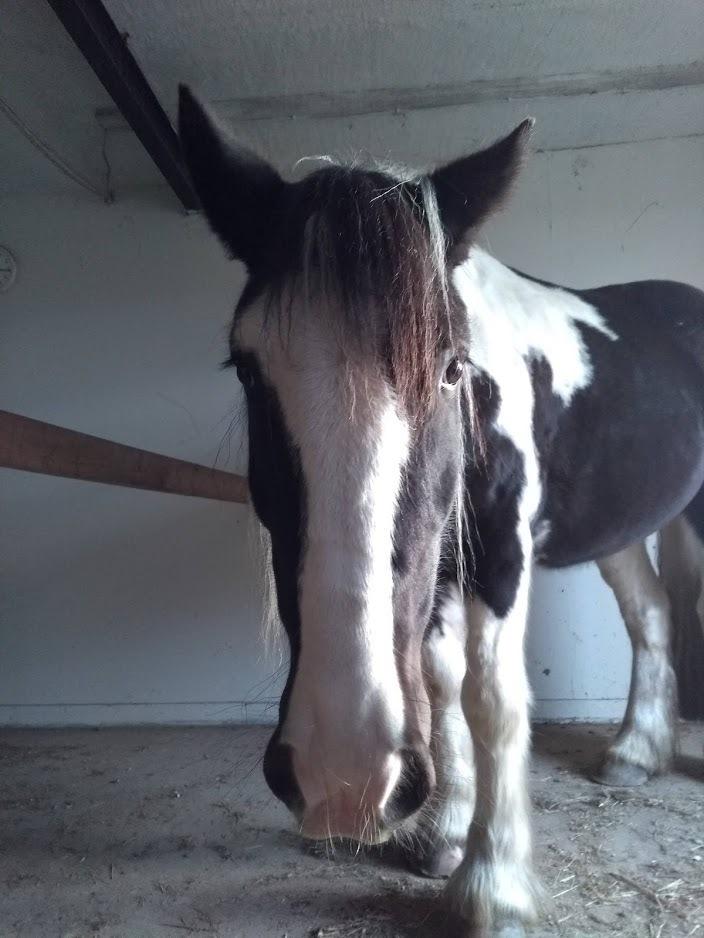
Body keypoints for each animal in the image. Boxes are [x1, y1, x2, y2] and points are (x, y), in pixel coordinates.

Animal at [177, 84, 704, 932]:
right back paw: (634, 752)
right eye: (247, 369)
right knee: (652, 613)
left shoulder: (500, 554)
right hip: (619, 531)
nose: (343, 773)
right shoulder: (439, 571)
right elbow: (440, 682)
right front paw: (446, 835)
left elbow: (489, 699)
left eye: (454, 368)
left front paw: (494, 884)